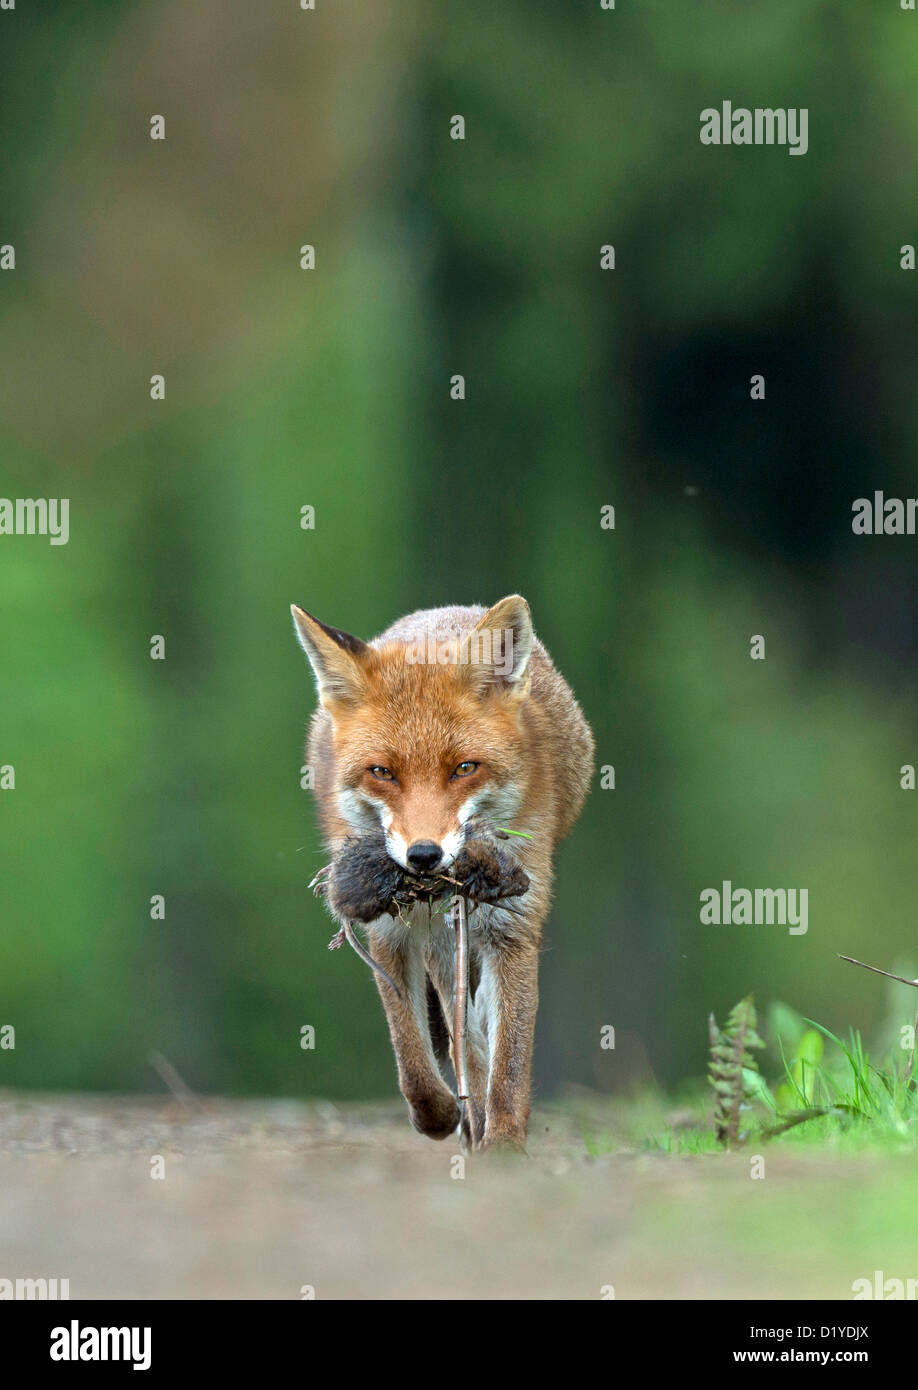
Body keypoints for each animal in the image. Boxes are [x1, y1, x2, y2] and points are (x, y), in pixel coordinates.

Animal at [290, 597, 598, 1150]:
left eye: (464, 768)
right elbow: (414, 1052)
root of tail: (442, 611)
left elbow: (508, 1065)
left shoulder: (512, 924)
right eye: (382, 772)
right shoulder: (395, 928)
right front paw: (439, 1115)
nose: (424, 856)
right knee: (457, 1038)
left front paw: (503, 1146)